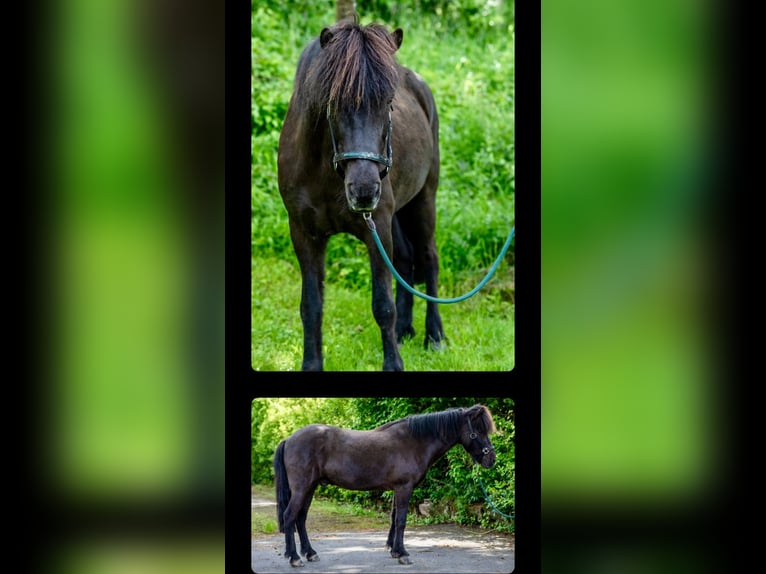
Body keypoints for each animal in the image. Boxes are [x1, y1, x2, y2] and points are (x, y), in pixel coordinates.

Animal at [272, 404, 497, 567]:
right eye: (477, 432)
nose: (491, 459)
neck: (414, 441)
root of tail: (289, 439)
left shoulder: (398, 489)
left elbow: (394, 518)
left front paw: (395, 550)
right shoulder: (404, 488)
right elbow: (401, 520)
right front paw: (403, 554)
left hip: (310, 488)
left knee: (300, 519)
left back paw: (309, 553)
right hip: (302, 488)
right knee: (290, 516)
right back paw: (295, 558)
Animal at [277, 17, 445, 371]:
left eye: (389, 103)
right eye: (334, 103)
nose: (364, 190)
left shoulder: (376, 226)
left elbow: (382, 304)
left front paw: (393, 365)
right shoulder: (303, 233)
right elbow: (311, 306)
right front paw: (311, 364)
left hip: (424, 199)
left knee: (428, 257)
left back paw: (435, 336)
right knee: (406, 258)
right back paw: (405, 330)